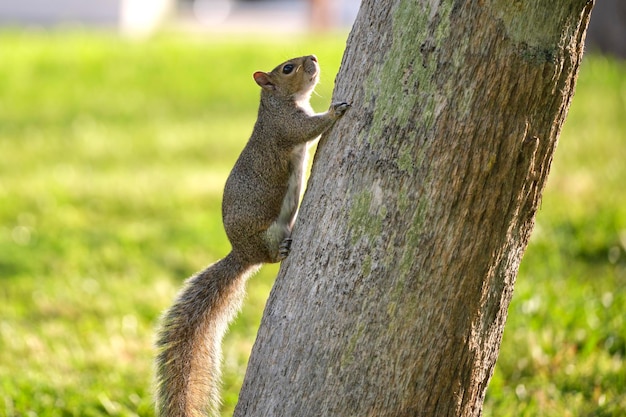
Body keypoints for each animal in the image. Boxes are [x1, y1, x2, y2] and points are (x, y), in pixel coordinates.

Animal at [155, 56, 352, 416]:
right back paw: (282, 249)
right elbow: (307, 130)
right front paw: (335, 111)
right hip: (266, 235)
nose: (313, 58)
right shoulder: (284, 126)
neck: (277, 102)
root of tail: (243, 253)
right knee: (270, 256)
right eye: (288, 68)